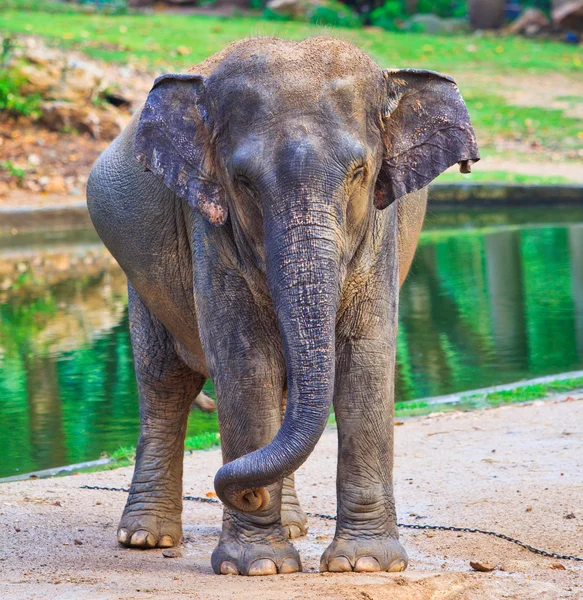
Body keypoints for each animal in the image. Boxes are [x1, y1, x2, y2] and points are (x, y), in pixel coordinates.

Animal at [86, 36, 480, 576]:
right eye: (242, 181)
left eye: (360, 173)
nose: (245, 493)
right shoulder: (210, 229)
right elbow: (246, 362)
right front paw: (258, 566)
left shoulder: (381, 230)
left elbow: (366, 358)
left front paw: (364, 564)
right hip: (141, 283)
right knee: (164, 381)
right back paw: (146, 538)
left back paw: (291, 525)